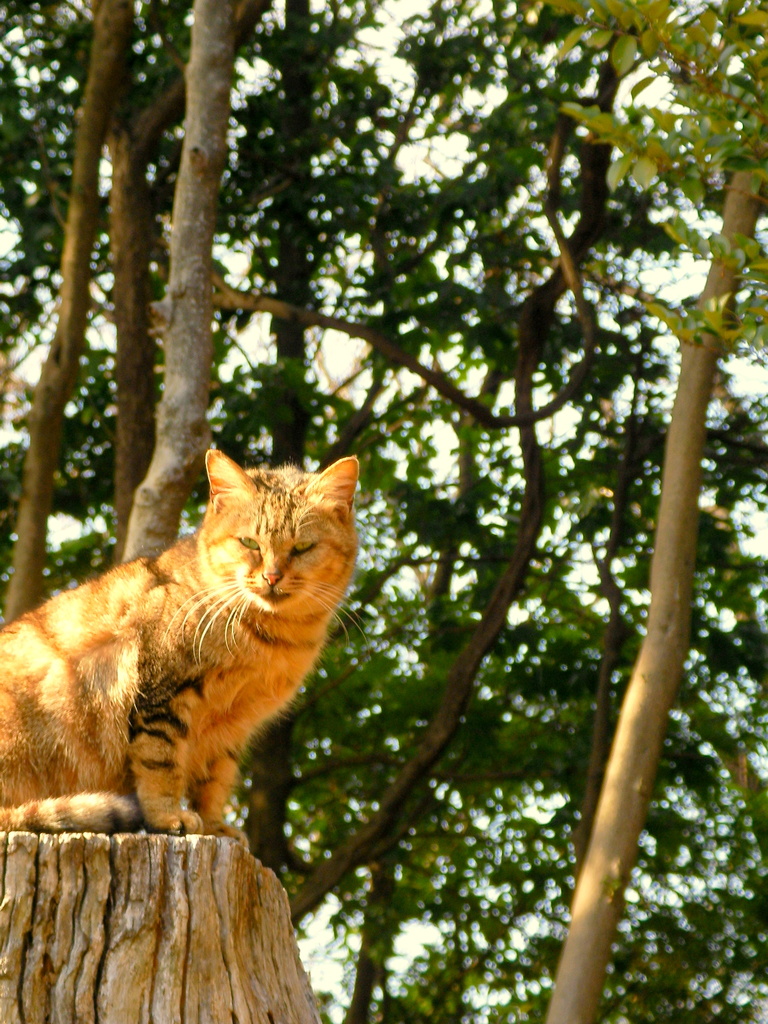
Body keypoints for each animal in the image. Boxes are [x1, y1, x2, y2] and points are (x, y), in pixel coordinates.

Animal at [0, 452, 360, 843]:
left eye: (303, 547)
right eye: (249, 543)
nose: (272, 577)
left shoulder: (230, 728)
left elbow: (215, 782)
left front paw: (215, 826)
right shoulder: (160, 695)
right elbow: (160, 763)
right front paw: (168, 817)